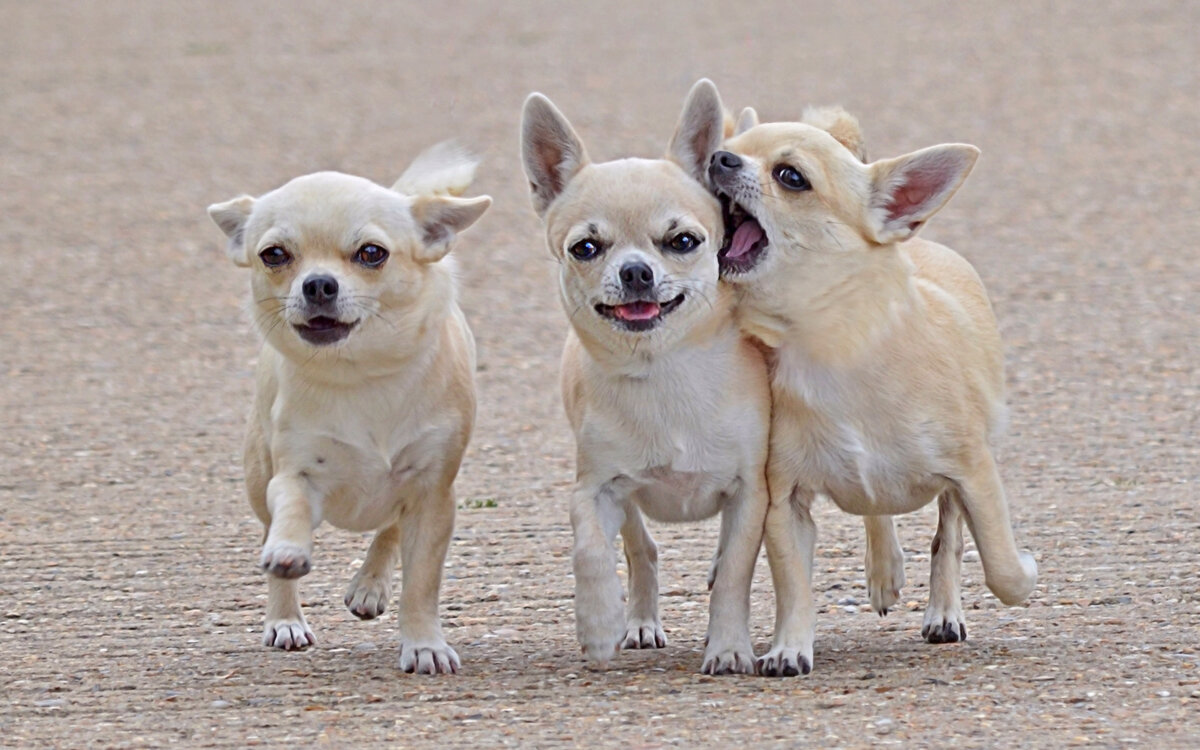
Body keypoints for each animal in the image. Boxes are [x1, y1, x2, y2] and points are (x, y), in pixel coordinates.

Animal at [205, 141, 487, 672]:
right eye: (274, 255)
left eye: (371, 253)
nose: (318, 284)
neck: (360, 374)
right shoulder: (294, 473)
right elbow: (292, 510)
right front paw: (289, 554)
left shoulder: (432, 494)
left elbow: (421, 583)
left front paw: (423, 644)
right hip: (257, 478)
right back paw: (285, 620)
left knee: (390, 529)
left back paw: (369, 585)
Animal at [523, 80, 768, 672]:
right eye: (585, 248)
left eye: (682, 241)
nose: (636, 271)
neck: (663, 372)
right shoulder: (593, 491)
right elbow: (589, 549)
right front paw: (598, 624)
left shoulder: (751, 492)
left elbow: (735, 573)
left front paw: (729, 646)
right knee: (641, 549)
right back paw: (637, 621)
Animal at [705, 103, 1036, 672]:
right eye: (733, 147)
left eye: (791, 177)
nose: (719, 157)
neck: (833, 347)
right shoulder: (785, 501)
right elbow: (794, 585)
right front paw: (789, 647)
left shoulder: (975, 474)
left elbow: (1001, 567)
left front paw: (1024, 570)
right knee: (876, 507)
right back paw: (883, 570)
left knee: (948, 536)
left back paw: (942, 612)